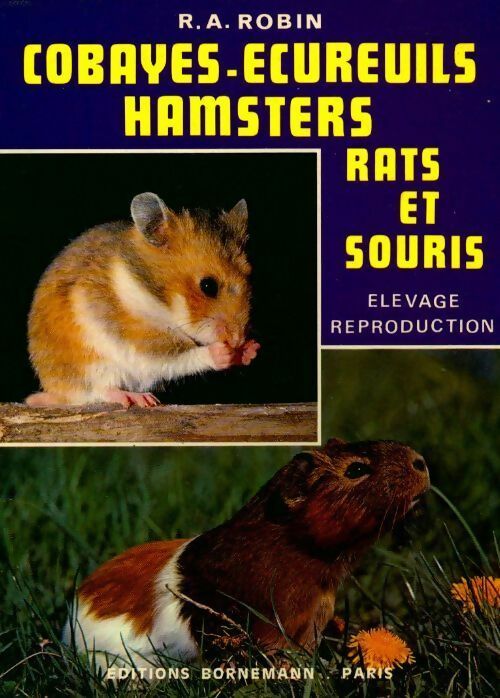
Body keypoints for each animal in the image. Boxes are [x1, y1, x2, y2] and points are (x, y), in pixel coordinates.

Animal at [26, 193, 260, 407]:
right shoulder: (137, 335)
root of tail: (58, 392)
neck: (154, 297)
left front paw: (250, 350)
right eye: (208, 286)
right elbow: (176, 355)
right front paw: (223, 353)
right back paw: (139, 398)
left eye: (250, 276)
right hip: (92, 365)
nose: (237, 339)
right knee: (101, 390)